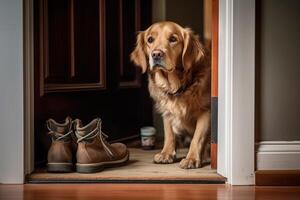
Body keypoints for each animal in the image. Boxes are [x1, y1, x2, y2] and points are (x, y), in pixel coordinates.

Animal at [130, 21, 210, 169]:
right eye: (150, 39)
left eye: (173, 39)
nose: (156, 54)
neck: (177, 86)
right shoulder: (167, 112)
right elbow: (169, 134)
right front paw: (166, 153)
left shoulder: (206, 111)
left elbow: (197, 138)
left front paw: (191, 158)